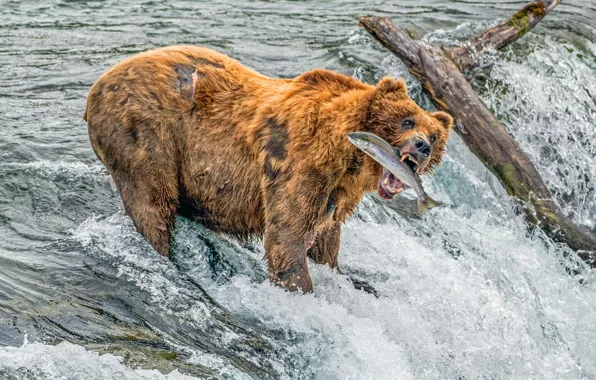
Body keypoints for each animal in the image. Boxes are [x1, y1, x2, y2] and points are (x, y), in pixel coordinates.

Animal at [84, 46, 452, 292]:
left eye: (435, 134)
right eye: (407, 120)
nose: (423, 146)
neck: (347, 158)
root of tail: (96, 86)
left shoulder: (336, 193)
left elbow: (326, 237)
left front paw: (342, 273)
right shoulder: (298, 162)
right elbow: (288, 233)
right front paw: (301, 288)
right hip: (146, 132)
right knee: (152, 203)